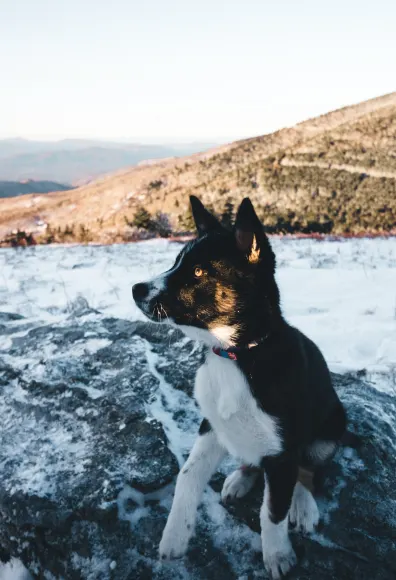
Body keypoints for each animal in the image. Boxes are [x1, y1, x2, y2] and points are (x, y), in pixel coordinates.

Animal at [131, 197, 344, 576]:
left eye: (199, 272)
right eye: (177, 262)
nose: (135, 289)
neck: (235, 355)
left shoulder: (282, 451)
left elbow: (272, 511)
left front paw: (277, 554)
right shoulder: (211, 425)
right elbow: (187, 475)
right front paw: (174, 537)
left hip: (330, 429)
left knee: (309, 472)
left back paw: (303, 504)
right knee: (253, 460)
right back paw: (240, 478)